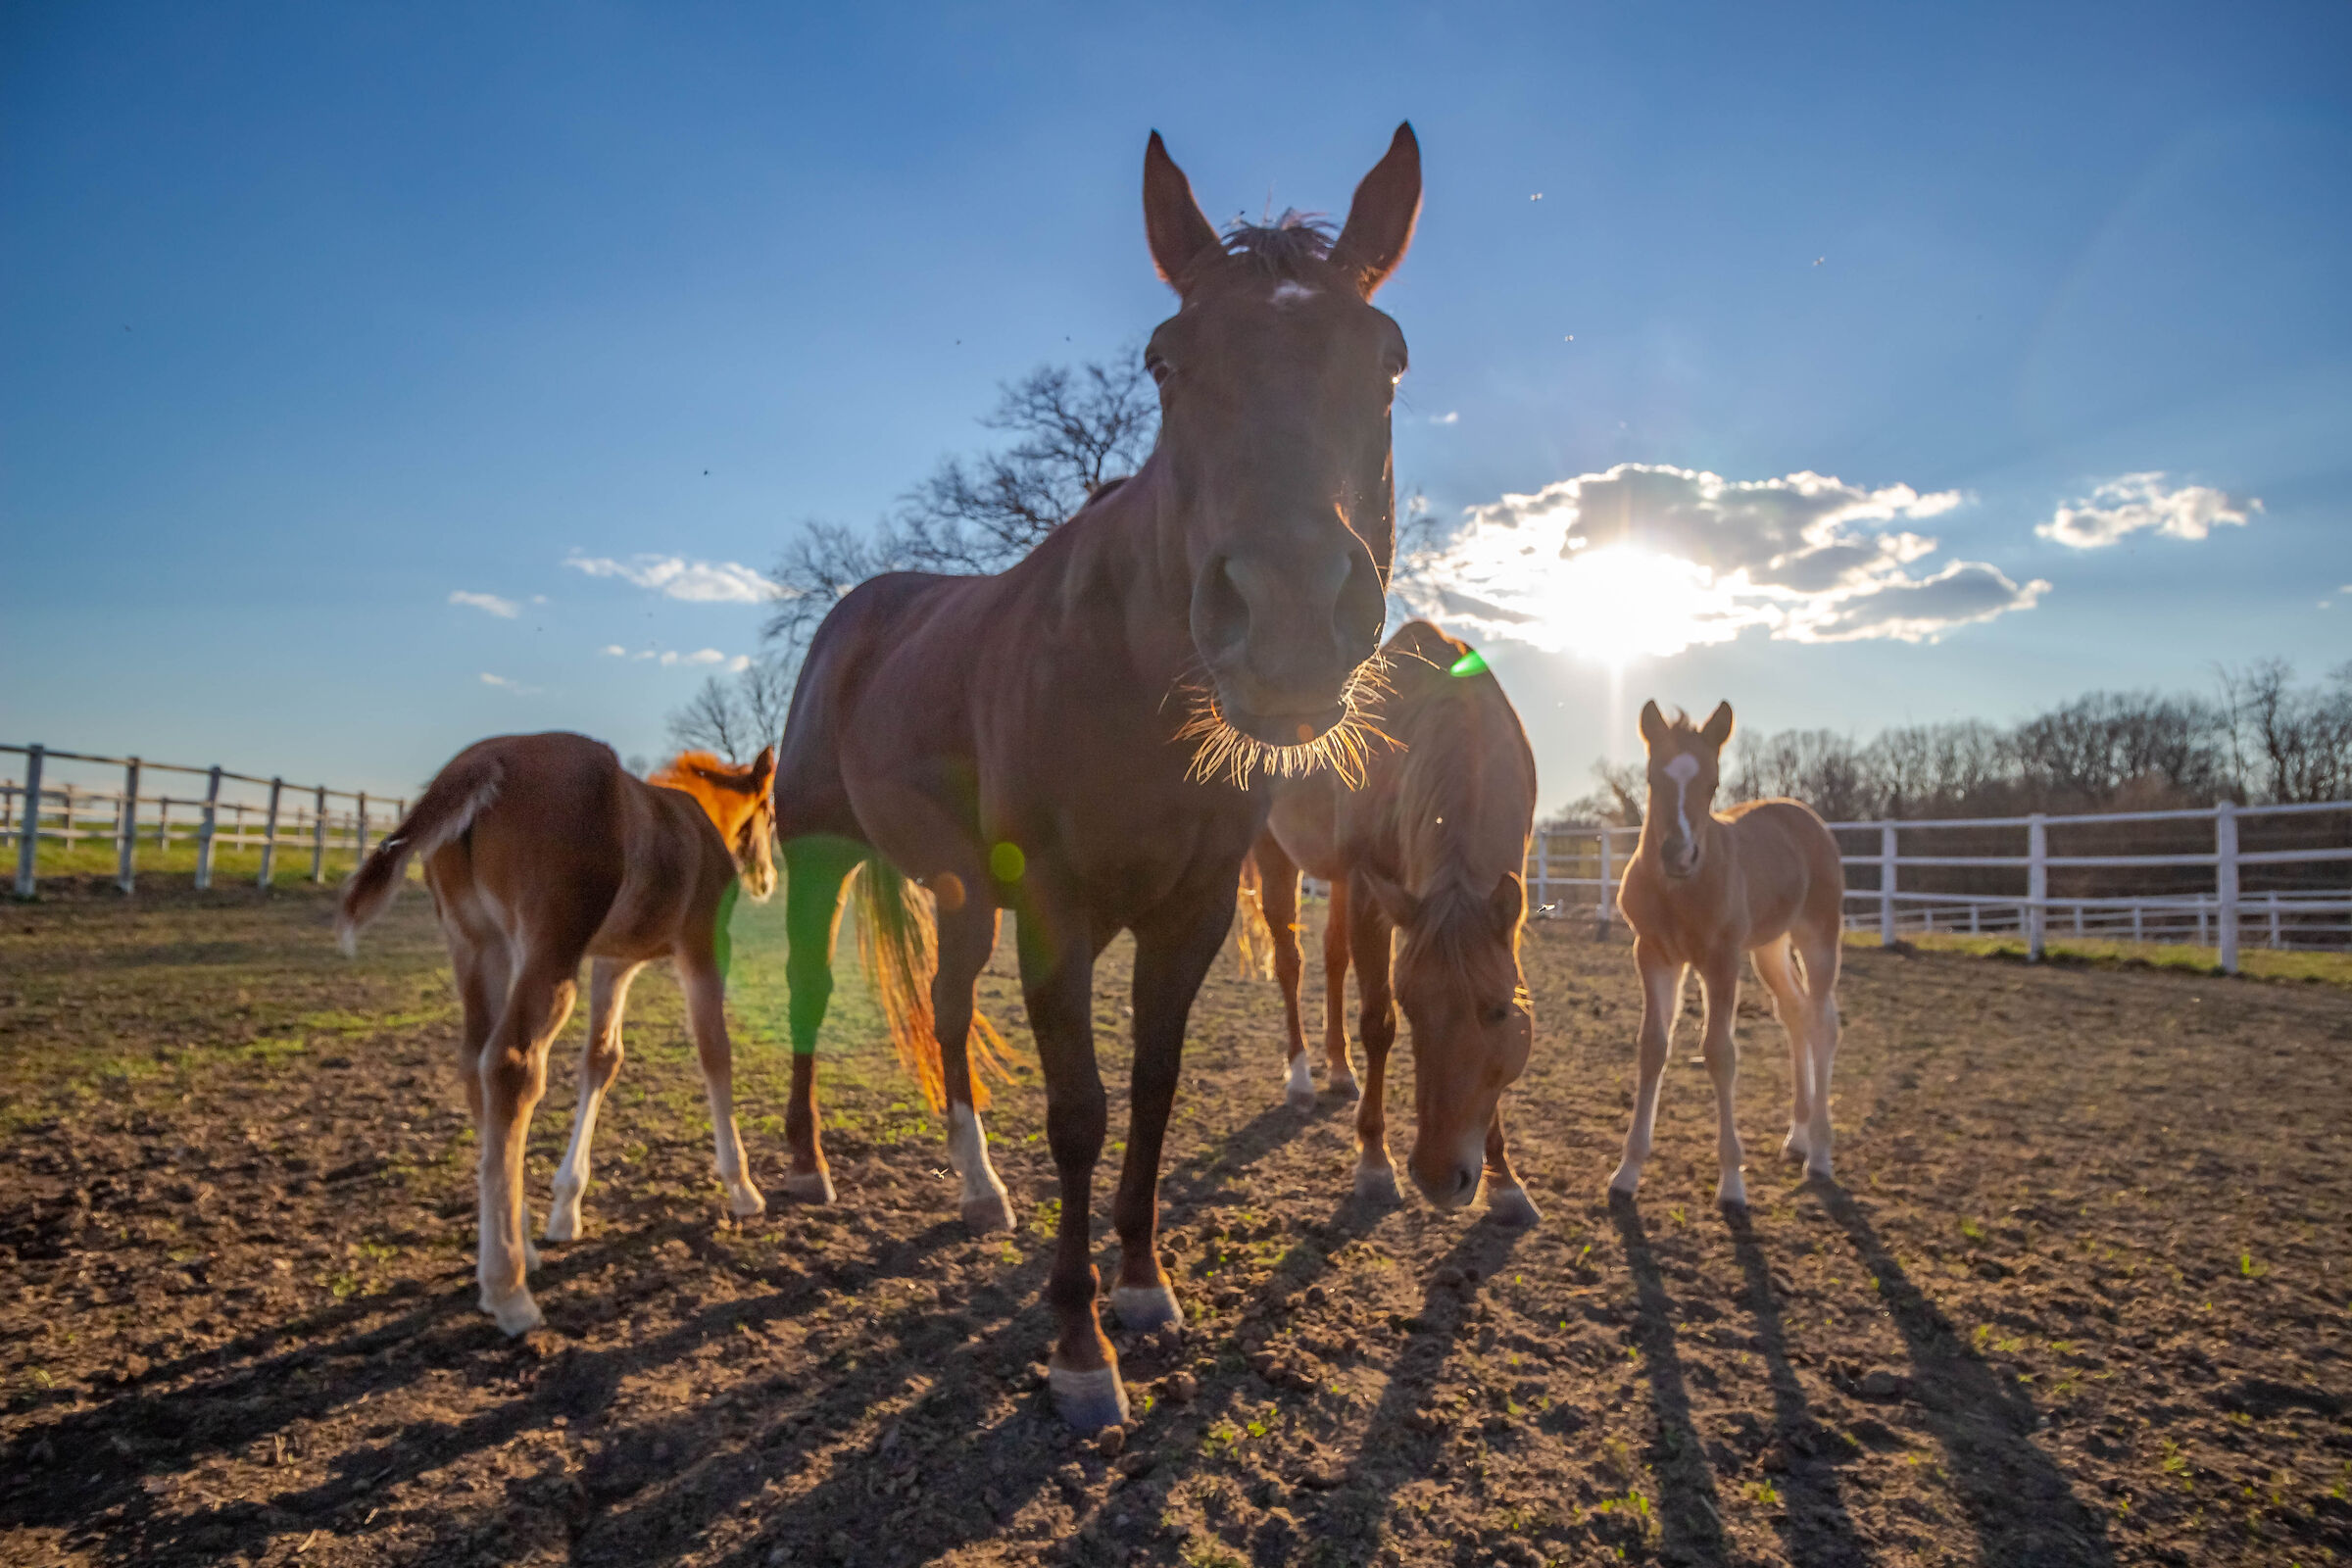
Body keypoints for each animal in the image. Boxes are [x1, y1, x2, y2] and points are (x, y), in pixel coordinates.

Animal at [336, 733, 778, 1334]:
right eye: (770, 814)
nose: (767, 881)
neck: (693, 818)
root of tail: (486, 759)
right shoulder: (703, 946)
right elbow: (716, 1053)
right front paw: (742, 1187)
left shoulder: (614, 962)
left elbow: (602, 1059)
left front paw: (566, 1209)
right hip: (549, 947)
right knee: (512, 1064)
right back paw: (508, 1288)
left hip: (479, 947)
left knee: (475, 1063)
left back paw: (519, 1240)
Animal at [770, 125, 1423, 1430]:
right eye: (1166, 362)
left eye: (1388, 360)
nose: (1288, 613)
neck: (1125, 676)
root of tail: (859, 612)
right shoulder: (1057, 912)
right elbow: (1079, 1111)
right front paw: (1077, 1342)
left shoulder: (1195, 909)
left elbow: (1156, 1090)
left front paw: (1141, 1281)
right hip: (822, 859)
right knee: (812, 993)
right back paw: (806, 1167)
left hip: (962, 898)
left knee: (948, 1008)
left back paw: (977, 1188)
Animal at [1244, 621, 1540, 1224]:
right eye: (1412, 1006)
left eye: (1499, 1011)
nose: (1438, 1178)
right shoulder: (1368, 889)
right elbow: (1377, 1023)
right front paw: (1375, 1165)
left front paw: (1505, 1180)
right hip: (1277, 855)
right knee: (1291, 962)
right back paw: (1302, 1078)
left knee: (1333, 958)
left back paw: (1339, 1071)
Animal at [1608, 701, 1845, 1209]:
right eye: (1653, 778)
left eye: (1713, 783)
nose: (1679, 855)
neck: (1679, 891)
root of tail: (1806, 817)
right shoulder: (1654, 955)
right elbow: (1652, 1047)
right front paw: (1627, 1171)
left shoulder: (1721, 960)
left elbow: (1719, 1052)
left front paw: (1732, 1181)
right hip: (1770, 947)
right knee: (1795, 1013)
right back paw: (1796, 1138)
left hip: (1818, 935)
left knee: (1822, 1023)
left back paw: (1819, 1154)